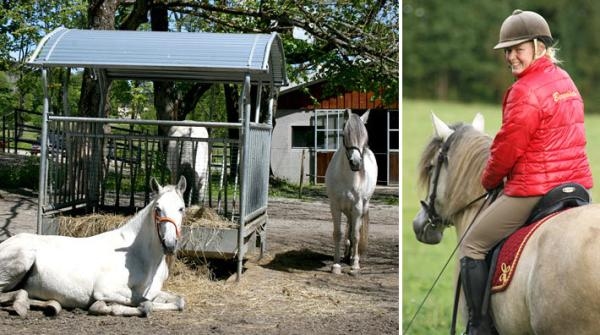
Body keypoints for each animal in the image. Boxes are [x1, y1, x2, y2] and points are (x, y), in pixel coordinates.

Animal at [0, 177, 188, 316]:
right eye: (158, 209)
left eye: (181, 208)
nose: (169, 244)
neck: (142, 258)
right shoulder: (105, 289)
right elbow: (145, 305)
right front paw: (104, 307)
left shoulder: (154, 292)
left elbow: (179, 301)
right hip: (23, 259)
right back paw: (21, 305)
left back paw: (49, 305)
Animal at [326, 110, 378, 276]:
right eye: (344, 135)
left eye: (365, 137)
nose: (356, 163)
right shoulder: (335, 206)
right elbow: (338, 233)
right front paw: (336, 265)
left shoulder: (357, 207)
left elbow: (356, 235)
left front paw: (355, 265)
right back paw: (346, 254)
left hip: (362, 207)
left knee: (355, 230)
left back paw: (352, 257)